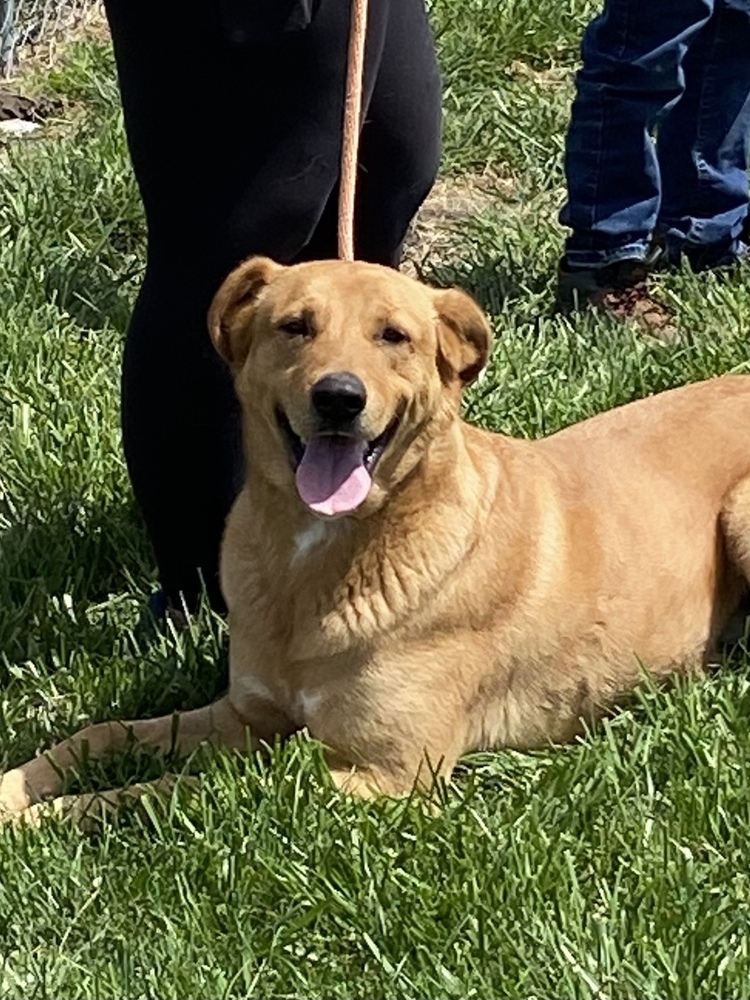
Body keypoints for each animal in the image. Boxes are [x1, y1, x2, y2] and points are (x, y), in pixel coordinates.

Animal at [1, 256, 750, 820]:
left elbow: (172, 793)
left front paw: (52, 817)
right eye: (295, 326)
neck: (318, 555)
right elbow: (105, 732)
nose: (339, 398)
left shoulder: (386, 774)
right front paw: (20, 789)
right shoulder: (247, 715)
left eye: (395, 336)